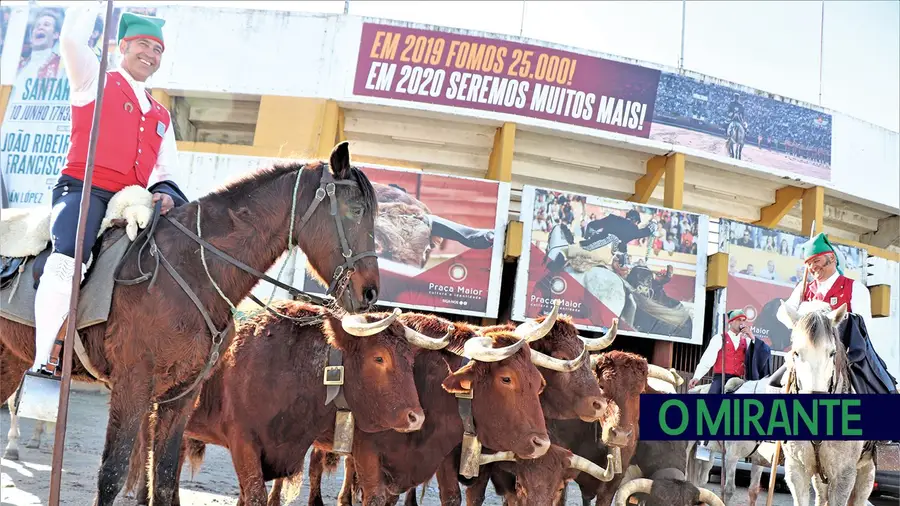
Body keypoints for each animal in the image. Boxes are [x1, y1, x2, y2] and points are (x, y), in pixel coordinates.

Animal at [0, 141, 380, 506]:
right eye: (356, 210)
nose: (371, 292)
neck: (191, 269)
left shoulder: (181, 395)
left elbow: (165, 479)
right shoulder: (133, 385)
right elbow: (112, 475)